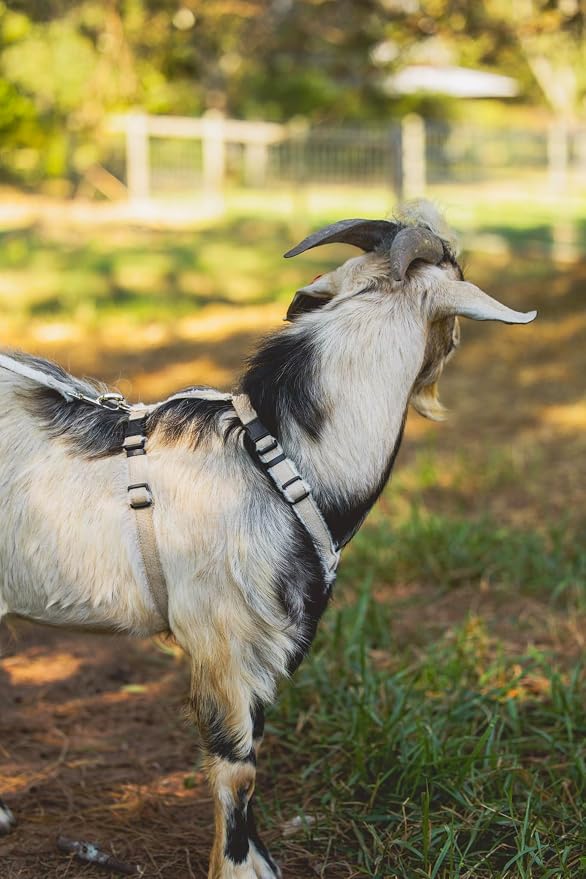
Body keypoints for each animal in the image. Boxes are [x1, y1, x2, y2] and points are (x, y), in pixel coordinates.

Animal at [0, 202, 536, 878]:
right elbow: (237, 769)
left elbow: (252, 750)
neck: (279, 459)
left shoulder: (264, 645)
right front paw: (236, 867)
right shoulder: (223, 641)